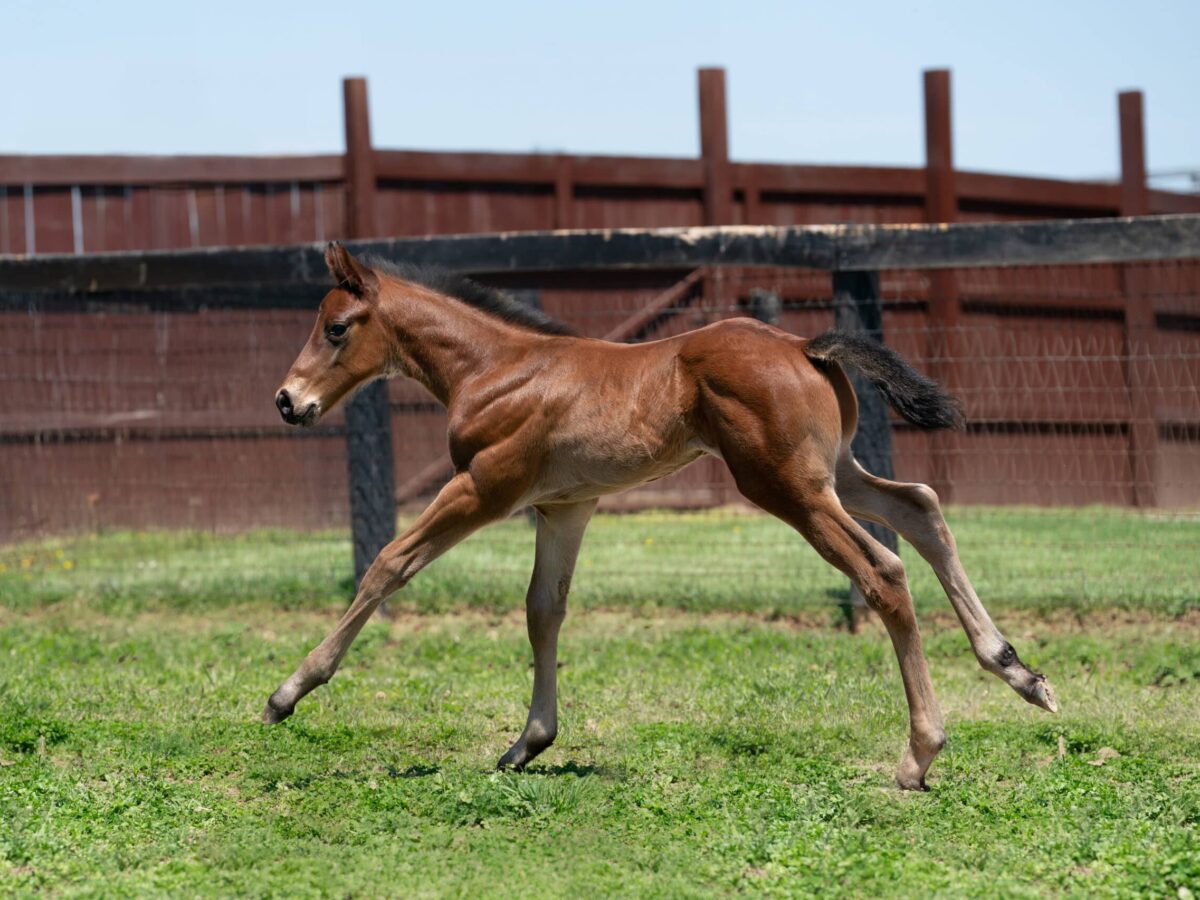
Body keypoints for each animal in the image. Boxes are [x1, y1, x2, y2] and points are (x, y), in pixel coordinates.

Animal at [267, 244, 1056, 787]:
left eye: (336, 328)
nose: (287, 400)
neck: (493, 370)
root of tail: (803, 344)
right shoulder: (564, 507)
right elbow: (543, 609)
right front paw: (528, 742)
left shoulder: (484, 487)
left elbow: (388, 563)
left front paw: (288, 691)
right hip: (831, 473)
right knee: (920, 507)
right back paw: (1018, 671)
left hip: (787, 487)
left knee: (883, 568)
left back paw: (920, 754)